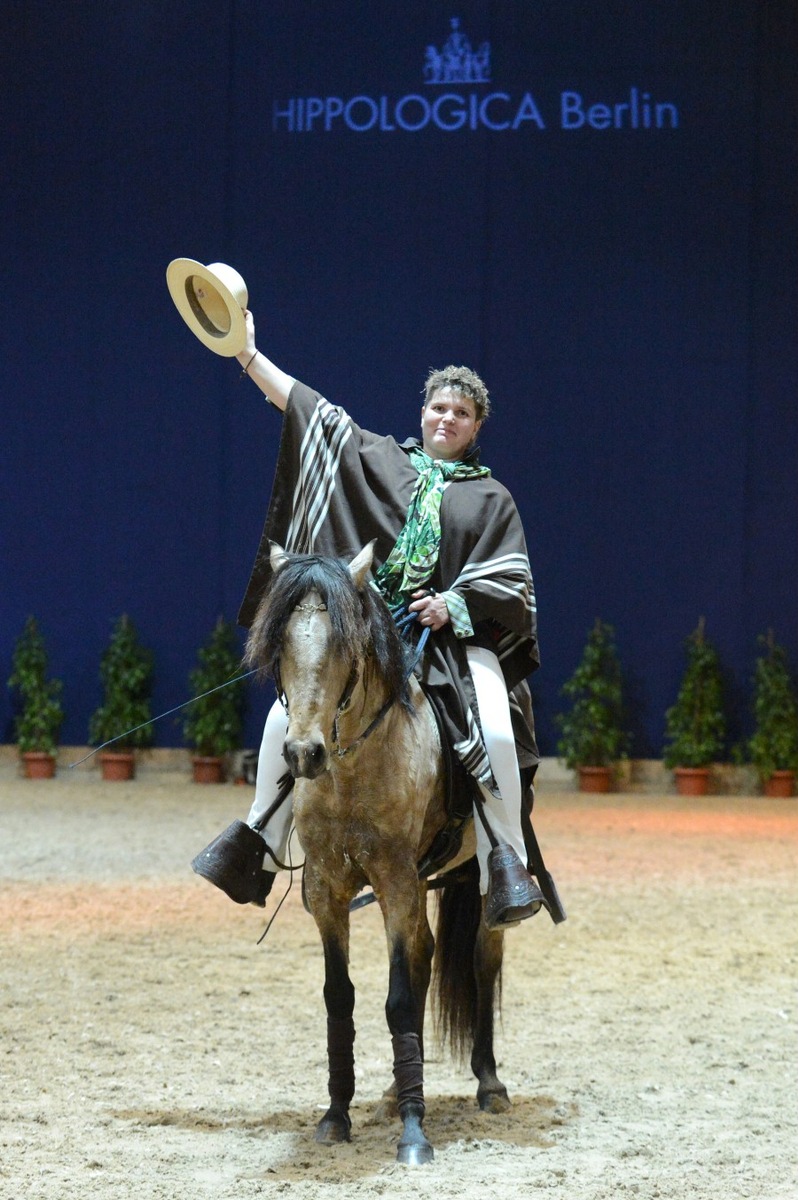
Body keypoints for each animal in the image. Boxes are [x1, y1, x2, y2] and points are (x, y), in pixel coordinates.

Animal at [246, 544, 525, 1161]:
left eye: (342, 645)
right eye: (280, 645)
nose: (303, 754)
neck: (353, 770)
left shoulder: (397, 881)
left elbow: (398, 998)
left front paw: (414, 1133)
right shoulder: (328, 888)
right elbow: (340, 998)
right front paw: (336, 1115)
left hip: (475, 883)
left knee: (482, 957)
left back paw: (488, 1084)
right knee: (422, 959)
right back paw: (398, 1088)